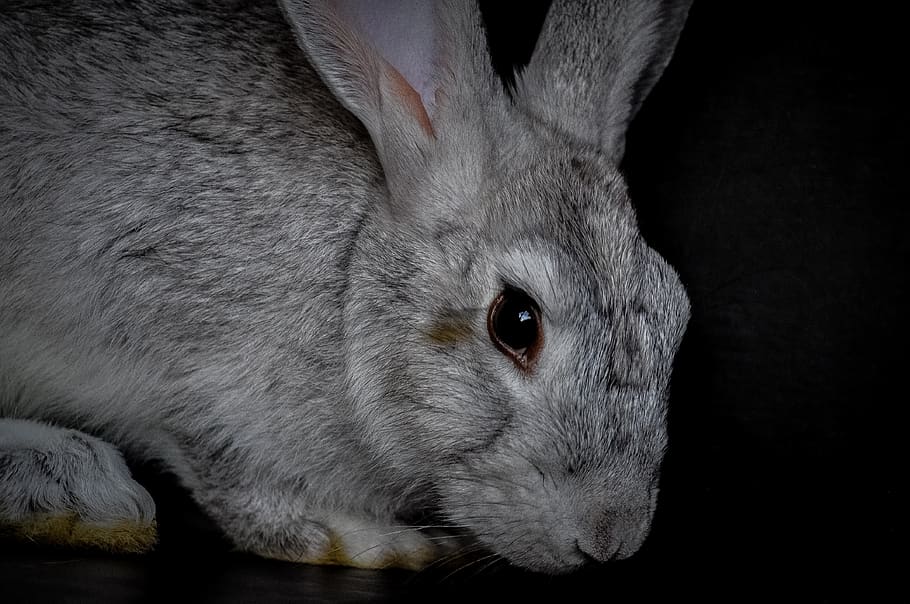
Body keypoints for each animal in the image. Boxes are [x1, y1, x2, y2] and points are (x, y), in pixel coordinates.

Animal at [0, 0, 692, 574]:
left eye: (678, 314)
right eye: (516, 321)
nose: (611, 537)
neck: (350, 279)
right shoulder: (182, 361)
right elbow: (241, 487)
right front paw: (380, 543)